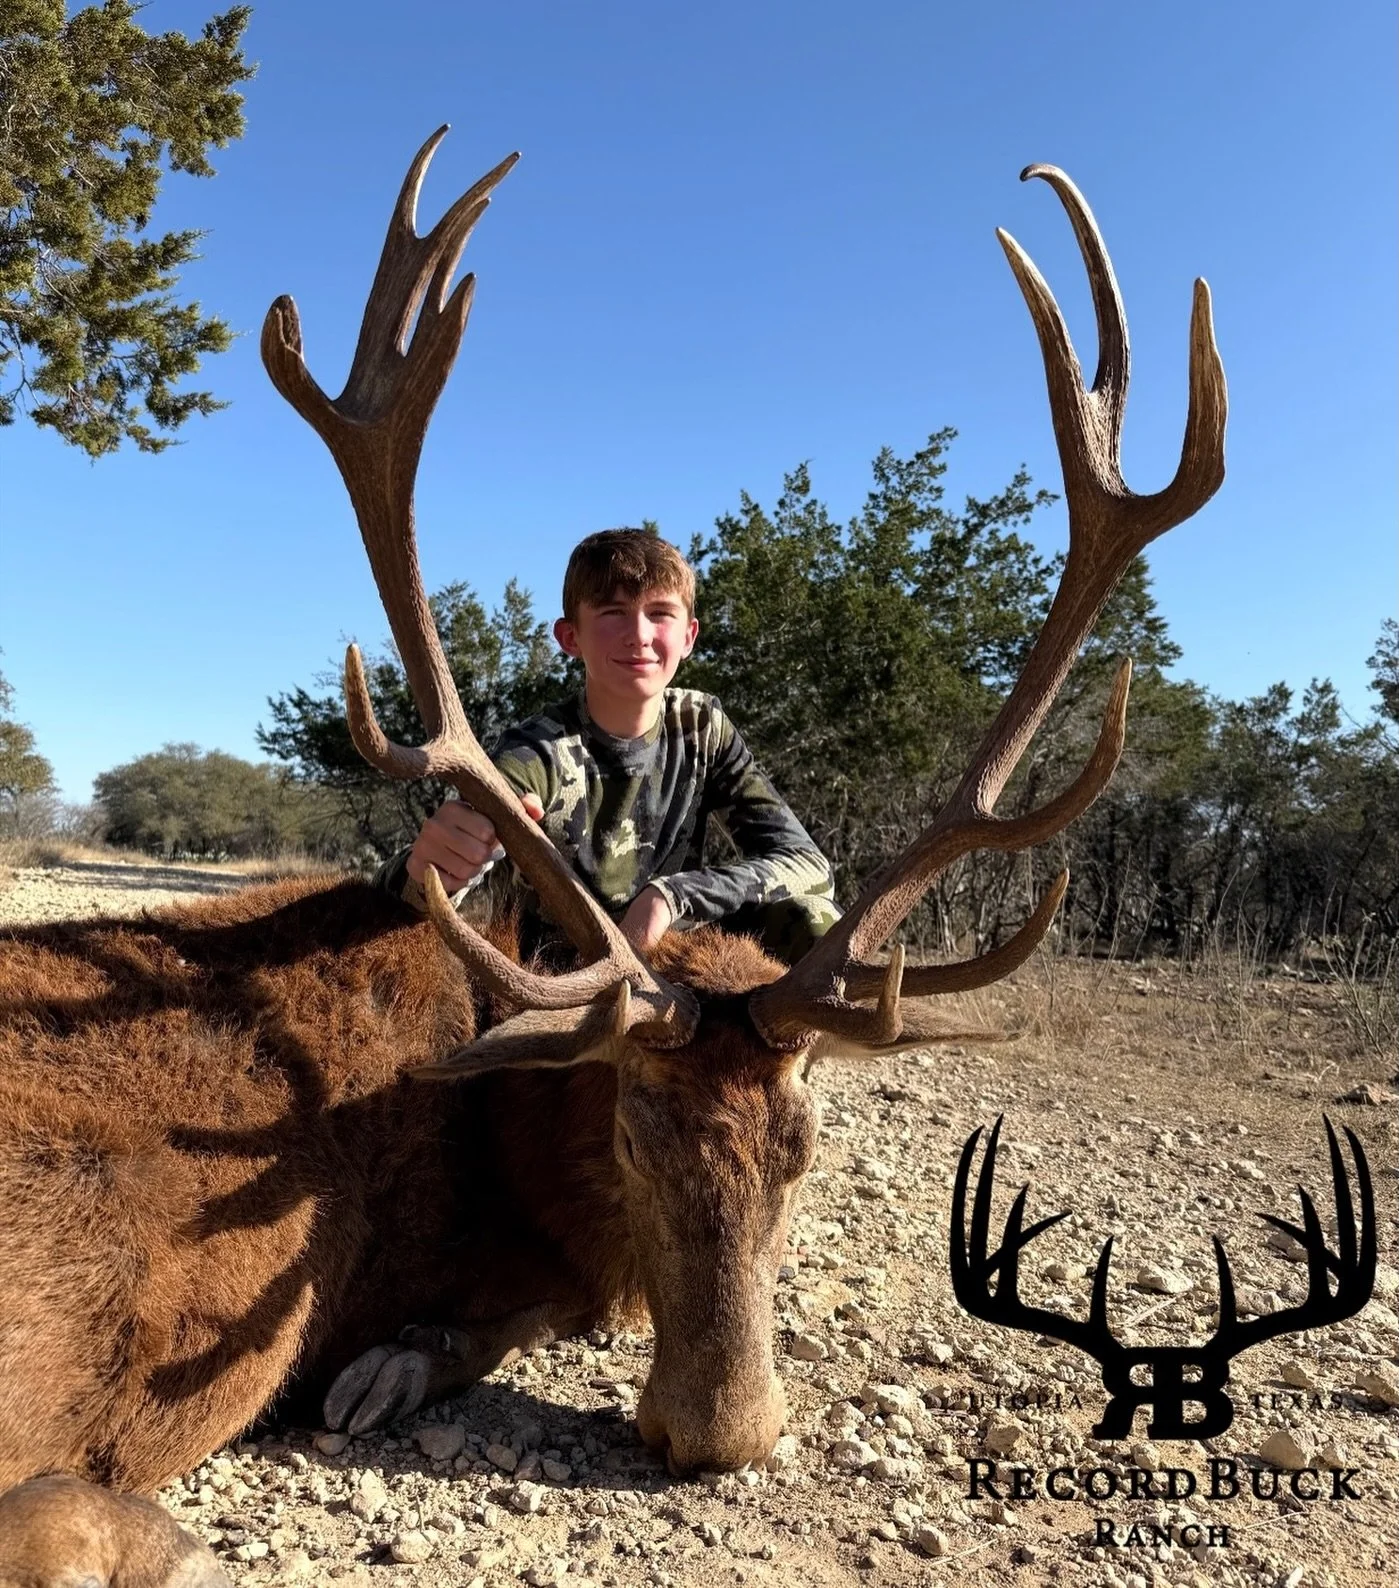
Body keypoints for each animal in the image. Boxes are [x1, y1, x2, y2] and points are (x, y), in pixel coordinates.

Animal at [0, 130, 1225, 1586]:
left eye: (805, 1148)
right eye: (631, 1135)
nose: (722, 1432)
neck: (501, 1087)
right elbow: (499, 1310)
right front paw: (390, 1364)